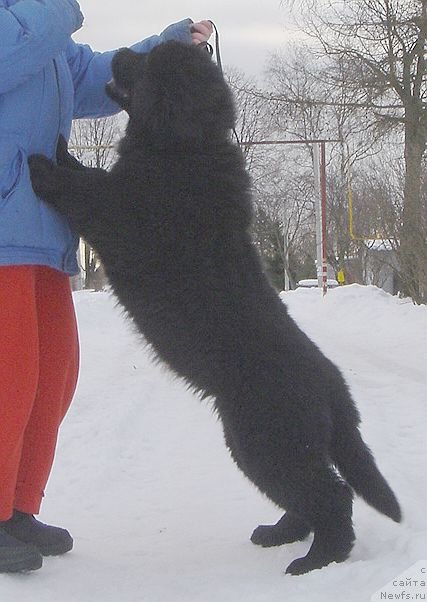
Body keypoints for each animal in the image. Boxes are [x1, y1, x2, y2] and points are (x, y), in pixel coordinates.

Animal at [29, 39, 402, 576]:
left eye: (147, 63)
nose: (119, 51)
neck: (185, 149)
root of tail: (336, 393)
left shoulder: (123, 216)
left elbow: (86, 188)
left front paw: (43, 165)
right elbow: (88, 173)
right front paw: (62, 149)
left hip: (267, 441)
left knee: (332, 497)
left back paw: (315, 560)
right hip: (268, 446)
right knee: (308, 498)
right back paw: (278, 534)